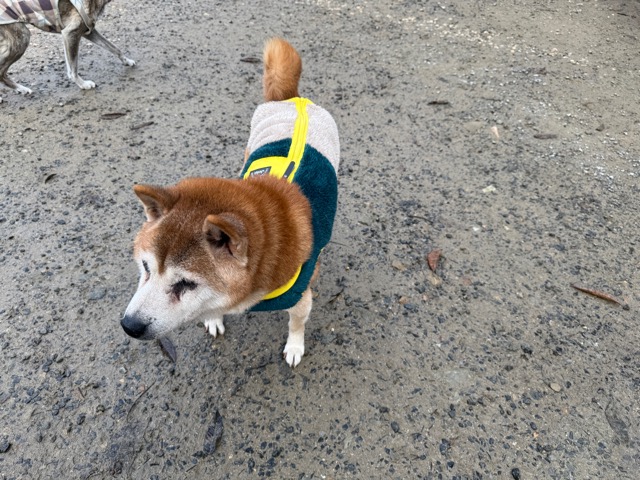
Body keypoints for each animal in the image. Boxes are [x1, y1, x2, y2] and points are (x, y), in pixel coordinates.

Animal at [0, 0, 135, 101]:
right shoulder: (70, 34)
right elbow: (73, 70)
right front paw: (83, 84)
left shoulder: (86, 32)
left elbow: (113, 47)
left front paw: (126, 61)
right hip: (22, 38)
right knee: (1, 72)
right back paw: (20, 88)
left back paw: (20, 89)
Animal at [121, 38, 340, 367]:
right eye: (145, 266)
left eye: (186, 284)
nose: (129, 325)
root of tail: (292, 99)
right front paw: (213, 318)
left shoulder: (301, 297)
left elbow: (296, 323)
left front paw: (295, 346)